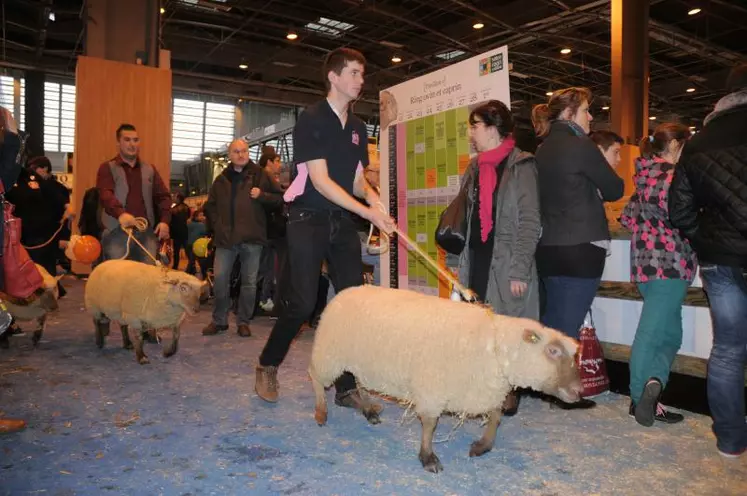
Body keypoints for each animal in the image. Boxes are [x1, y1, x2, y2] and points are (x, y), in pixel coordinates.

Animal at [310, 282, 584, 472]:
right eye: (553, 351)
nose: (580, 391)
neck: (493, 344)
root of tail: (346, 291)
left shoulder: (485, 388)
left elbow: (495, 417)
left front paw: (483, 446)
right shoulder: (433, 388)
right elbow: (430, 425)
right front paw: (428, 458)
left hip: (361, 360)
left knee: (359, 382)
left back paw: (368, 410)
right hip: (329, 352)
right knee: (315, 377)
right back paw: (321, 412)